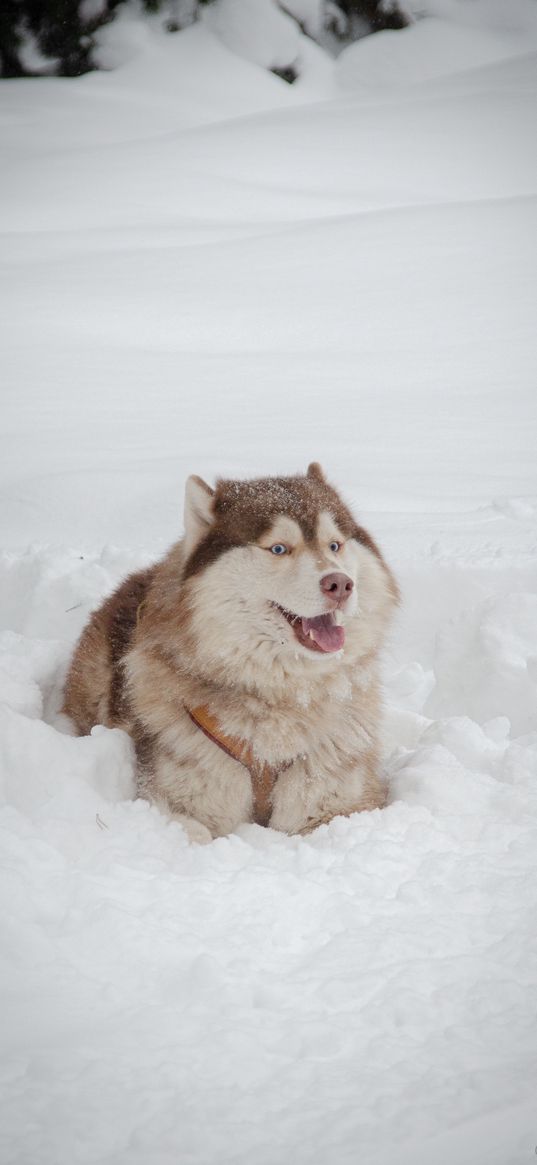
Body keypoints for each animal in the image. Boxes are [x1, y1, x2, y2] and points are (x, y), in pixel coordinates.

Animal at [62, 466, 398, 848]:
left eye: (335, 545)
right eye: (279, 548)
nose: (340, 584)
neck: (284, 694)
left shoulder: (343, 802)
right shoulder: (173, 801)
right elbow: (196, 832)